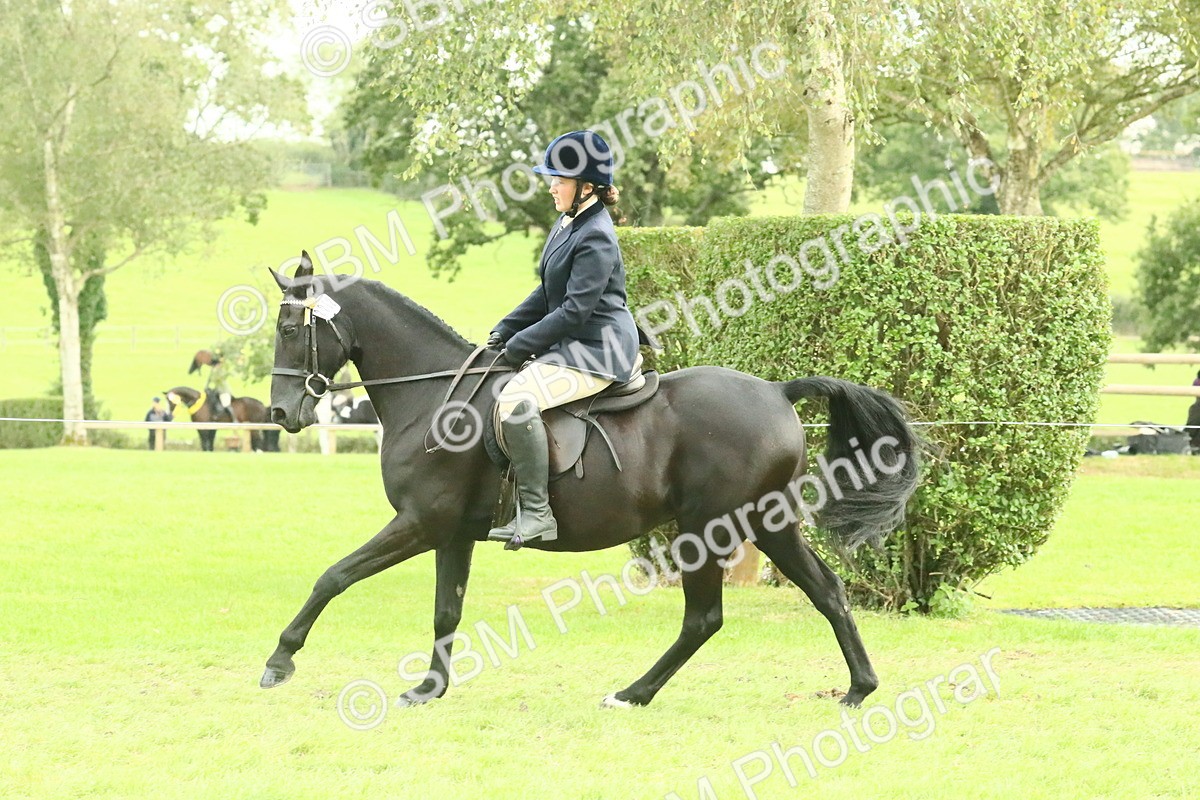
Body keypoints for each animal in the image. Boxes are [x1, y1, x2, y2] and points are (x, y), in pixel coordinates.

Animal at [260, 252, 921, 709]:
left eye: (290, 330)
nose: (281, 414)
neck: (433, 395)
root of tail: (778, 391)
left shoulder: (421, 522)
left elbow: (334, 576)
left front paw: (280, 660)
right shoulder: (451, 532)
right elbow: (446, 610)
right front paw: (429, 689)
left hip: (709, 527)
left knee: (705, 618)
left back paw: (631, 694)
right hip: (768, 521)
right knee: (826, 591)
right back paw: (859, 688)